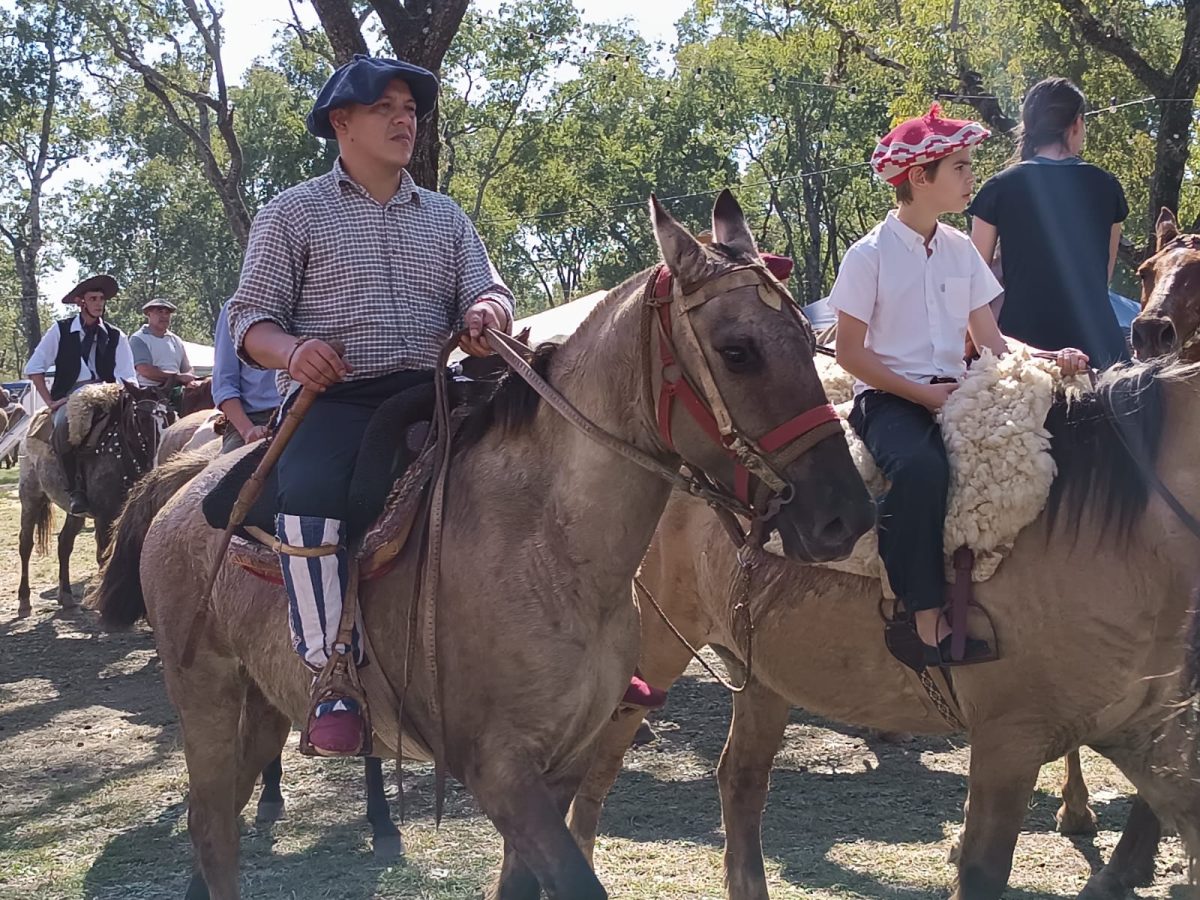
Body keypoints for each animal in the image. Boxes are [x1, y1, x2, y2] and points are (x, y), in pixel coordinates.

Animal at [87, 192, 873, 900]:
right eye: (738, 352)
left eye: (808, 340)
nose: (847, 515)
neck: (551, 548)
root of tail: (185, 483)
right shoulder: (501, 774)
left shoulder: (560, 767)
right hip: (206, 697)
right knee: (213, 833)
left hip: (263, 706)